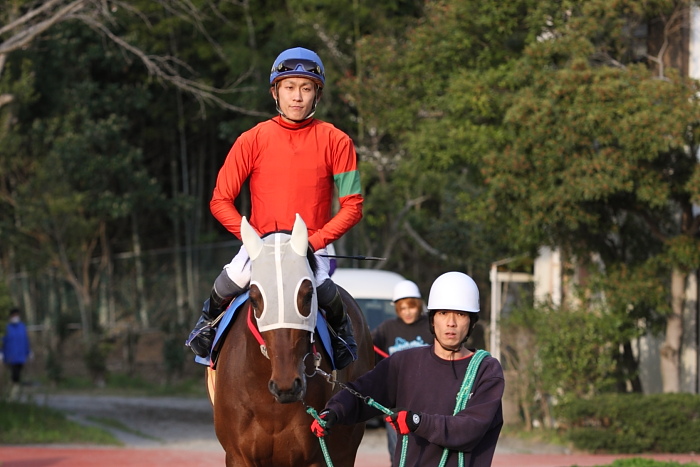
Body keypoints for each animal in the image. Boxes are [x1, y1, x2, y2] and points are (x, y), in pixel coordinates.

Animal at [209, 214, 378, 466]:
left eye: (308, 295)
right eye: (255, 299)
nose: (287, 385)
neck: (270, 406)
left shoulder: (314, 457)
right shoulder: (238, 455)